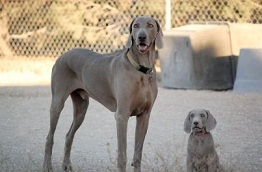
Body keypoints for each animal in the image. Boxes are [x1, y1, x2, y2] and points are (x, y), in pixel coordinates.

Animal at [42, 16, 163, 172]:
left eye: (150, 25)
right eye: (136, 26)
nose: (141, 37)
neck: (141, 70)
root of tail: (63, 55)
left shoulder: (144, 116)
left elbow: (137, 155)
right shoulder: (121, 116)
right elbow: (122, 155)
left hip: (81, 108)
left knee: (69, 135)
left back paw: (67, 165)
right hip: (57, 102)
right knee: (49, 137)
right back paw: (47, 165)